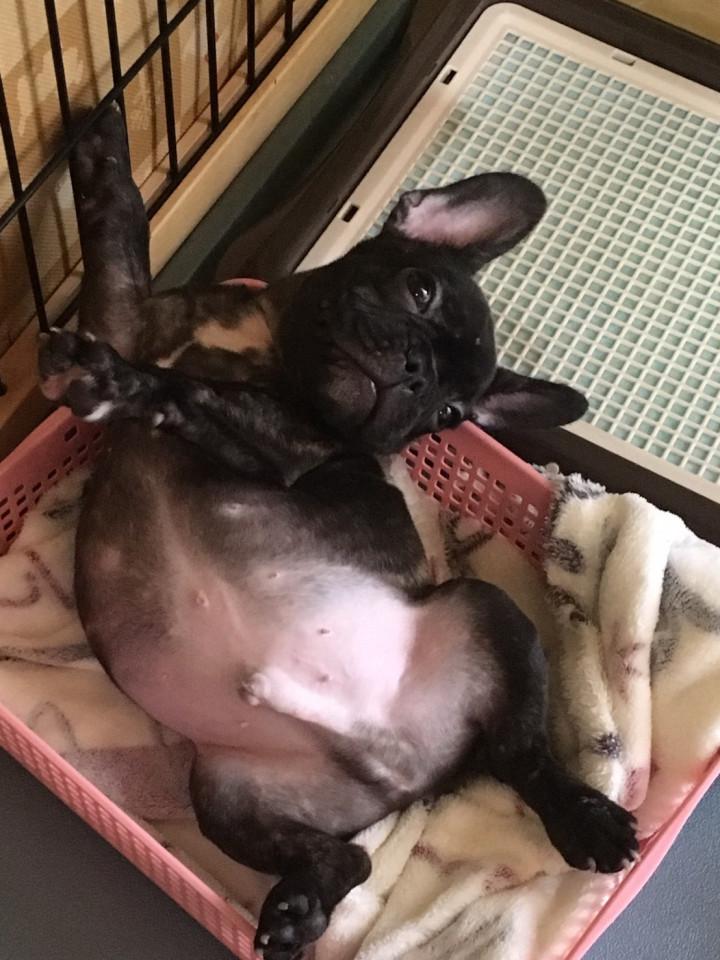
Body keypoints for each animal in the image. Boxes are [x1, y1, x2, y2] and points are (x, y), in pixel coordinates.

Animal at [40, 106, 637, 960]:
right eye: (419, 288)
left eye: (451, 415)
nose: (420, 380)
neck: (261, 334)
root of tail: (408, 774)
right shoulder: (125, 314)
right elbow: (116, 242)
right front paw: (99, 154)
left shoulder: (291, 444)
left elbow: (191, 388)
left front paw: (118, 382)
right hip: (228, 793)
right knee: (348, 859)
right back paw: (298, 906)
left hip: (488, 612)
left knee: (523, 758)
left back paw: (585, 820)